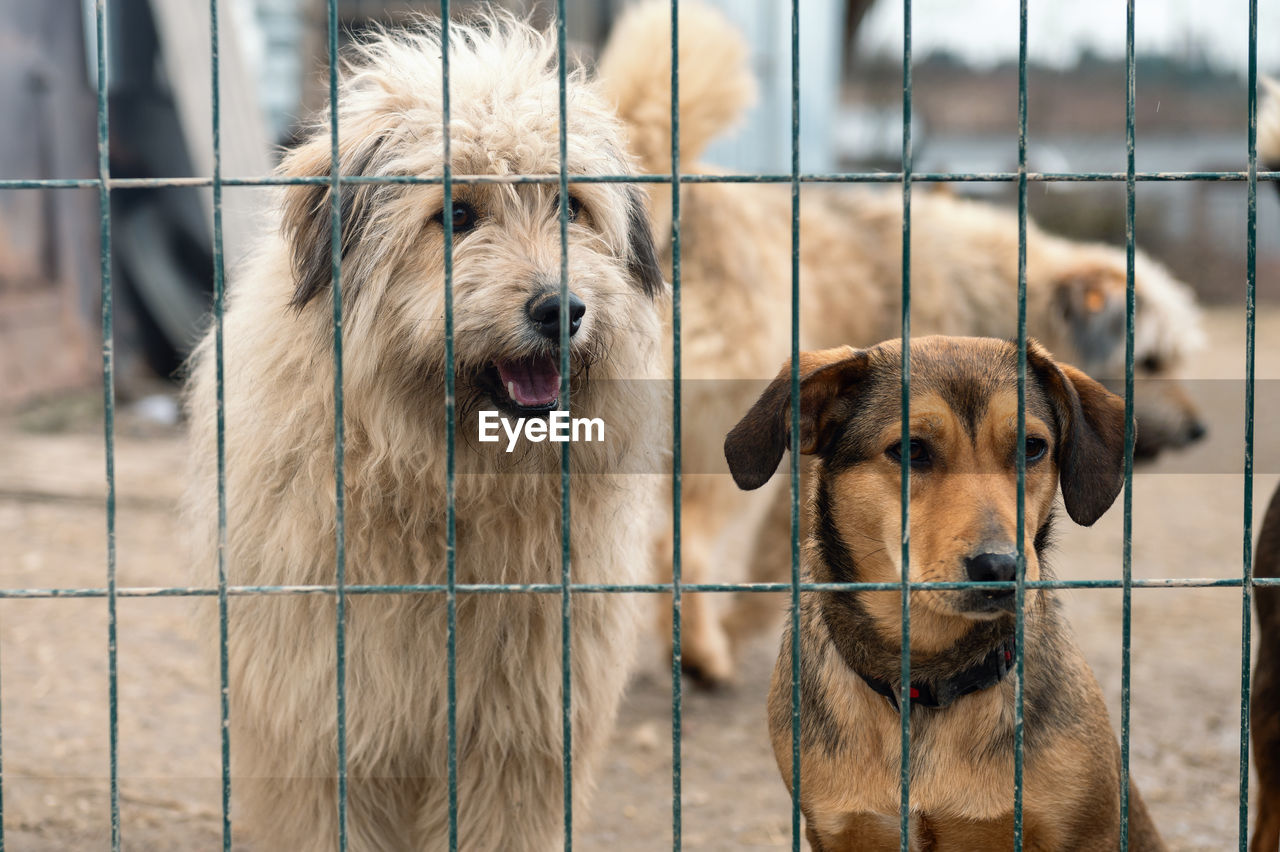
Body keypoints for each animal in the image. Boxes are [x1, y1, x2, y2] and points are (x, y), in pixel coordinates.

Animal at [185, 14, 665, 849]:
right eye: (458, 215)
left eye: (571, 208)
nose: (560, 310)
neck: (447, 480)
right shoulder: (327, 722)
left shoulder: (518, 734)